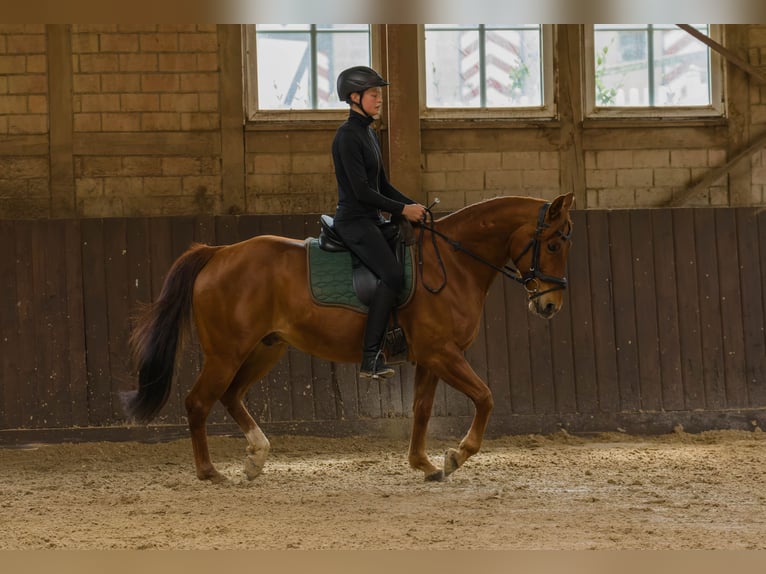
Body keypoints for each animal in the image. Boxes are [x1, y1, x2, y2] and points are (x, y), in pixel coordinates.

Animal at [127, 192, 576, 482]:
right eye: (553, 244)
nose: (551, 305)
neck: (452, 261)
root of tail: (218, 252)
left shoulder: (432, 358)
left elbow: (421, 409)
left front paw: (424, 464)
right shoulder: (443, 353)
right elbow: (485, 397)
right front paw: (456, 455)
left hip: (263, 349)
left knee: (230, 396)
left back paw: (256, 457)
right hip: (227, 352)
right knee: (198, 401)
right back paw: (209, 472)